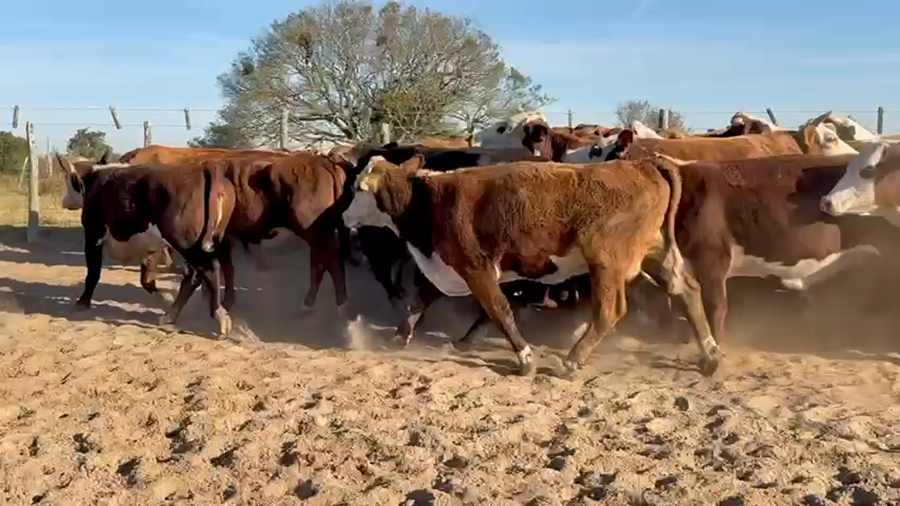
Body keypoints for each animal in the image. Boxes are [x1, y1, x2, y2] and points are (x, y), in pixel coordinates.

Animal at [55, 154, 236, 336]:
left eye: (66, 179)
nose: (64, 201)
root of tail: (203, 168)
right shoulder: (149, 249)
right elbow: (147, 281)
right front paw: (164, 299)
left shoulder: (93, 236)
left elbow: (93, 273)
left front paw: (83, 301)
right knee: (193, 276)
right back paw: (170, 314)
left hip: (186, 243)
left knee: (208, 270)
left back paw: (219, 316)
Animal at [343, 155, 721, 378]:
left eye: (359, 188)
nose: (345, 216)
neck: (428, 201)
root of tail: (643, 164)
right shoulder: (447, 267)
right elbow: (419, 302)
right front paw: (399, 337)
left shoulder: (476, 268)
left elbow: (499, 310)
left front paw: (525, 359)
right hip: (654, 253)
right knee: (688, 291)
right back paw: (710, 355)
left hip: (607, 261)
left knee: (610, 310)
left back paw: (572, 361)